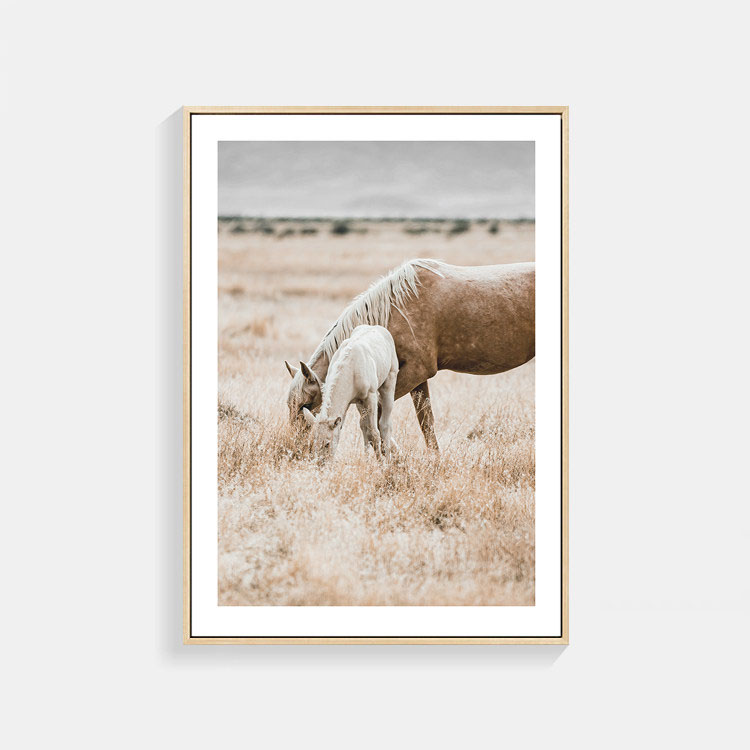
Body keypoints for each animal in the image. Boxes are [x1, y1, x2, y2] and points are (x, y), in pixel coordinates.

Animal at [301, 324, 398, 460]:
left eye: (327, 443)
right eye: (312, 443)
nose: (320, 463)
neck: (351, 366)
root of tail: (379, 328)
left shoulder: (370, 397)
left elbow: (374, 433)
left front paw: (380, 463)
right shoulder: (348, 403)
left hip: (389, 381)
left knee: (385, 424)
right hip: (360, 404)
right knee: (363, 426)